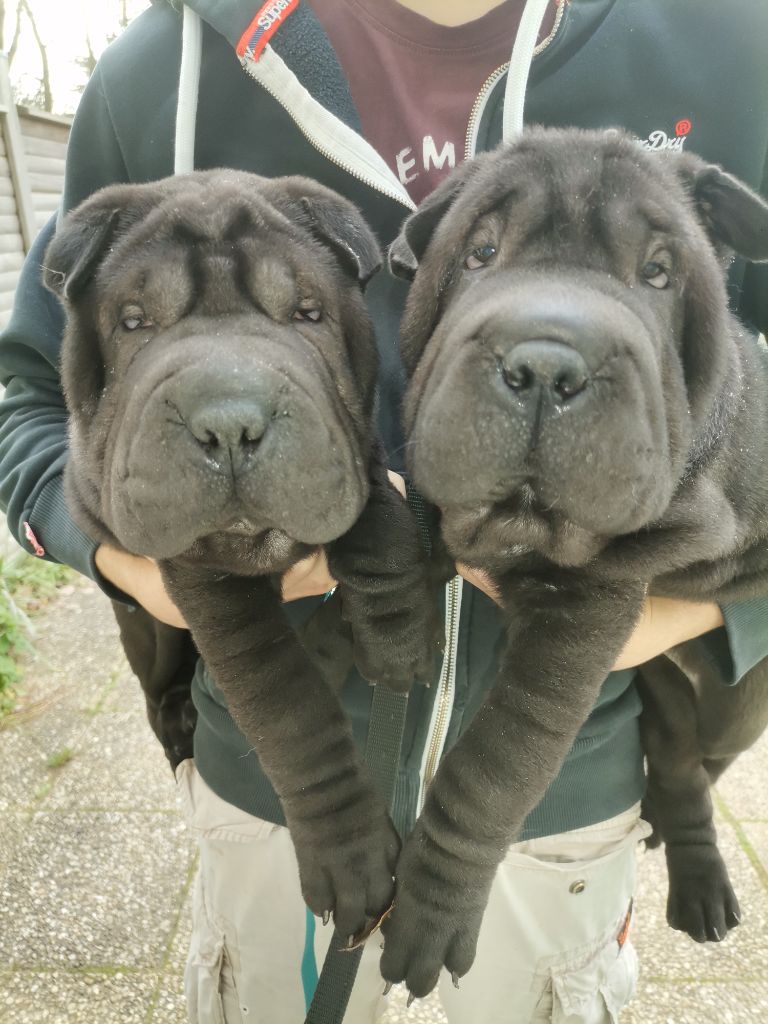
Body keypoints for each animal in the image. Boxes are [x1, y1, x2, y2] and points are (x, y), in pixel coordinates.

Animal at [46, 169, 438, 942]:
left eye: (308, 313)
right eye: (134, 322)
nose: (229, 423)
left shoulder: (345, 452)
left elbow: (373, 515)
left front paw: (395, 630)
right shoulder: (205, 576)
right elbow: (289, 707)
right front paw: (349, 857)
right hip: (145, 629)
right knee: (157, 687)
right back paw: (180, 727)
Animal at [385, 130, 768, 999]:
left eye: (658, 272)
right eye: (480, 253)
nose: (546, 365)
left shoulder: (587, 600)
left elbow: (494, 764)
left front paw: (431, 909)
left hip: (740, 701)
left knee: (696, 769)